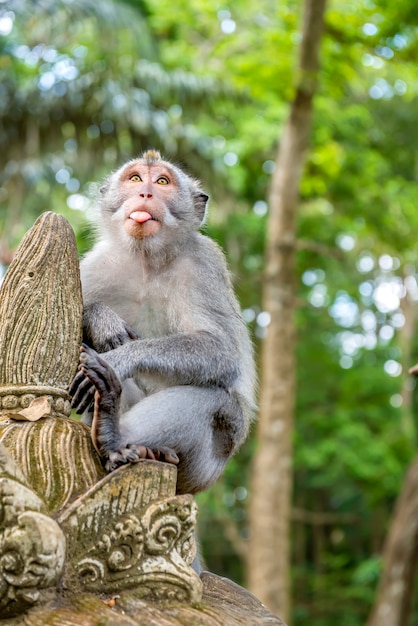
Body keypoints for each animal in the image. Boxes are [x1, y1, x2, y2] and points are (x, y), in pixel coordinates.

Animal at [70, 149, 256, 494]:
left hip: (209, 461)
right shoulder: (97, 263)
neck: (146, 260)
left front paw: (120, 358)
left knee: (212, 401)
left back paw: (113, 433)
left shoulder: (203, 264)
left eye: (162, 182)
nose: (145, 193)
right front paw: (101, 320)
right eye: (135, 178)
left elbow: (223, 351)